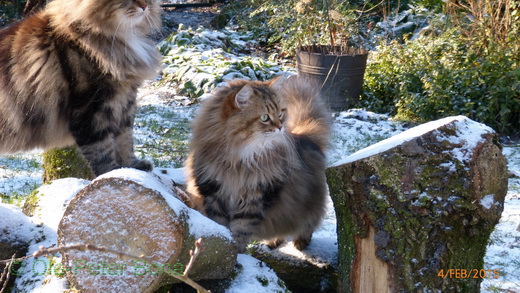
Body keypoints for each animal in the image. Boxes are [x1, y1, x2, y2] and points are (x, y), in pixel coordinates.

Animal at [0, 0, 161, 175]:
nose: (144, 6)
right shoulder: (90, 111)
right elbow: (102, 150)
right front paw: (112, 172)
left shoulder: (125, 102)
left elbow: (125, 140)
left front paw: (131, 167)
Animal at [185, 75, 332, 251]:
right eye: (264, 117)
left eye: (280, 114)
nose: (280, 127)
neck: (239, 159)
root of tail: (305, 137)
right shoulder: (213, 194)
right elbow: (219, 224)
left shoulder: (256, 198)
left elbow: (241, 230)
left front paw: (237, 251)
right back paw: (273, 242)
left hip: (306, 204)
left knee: (309, 223)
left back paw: (300, 243)